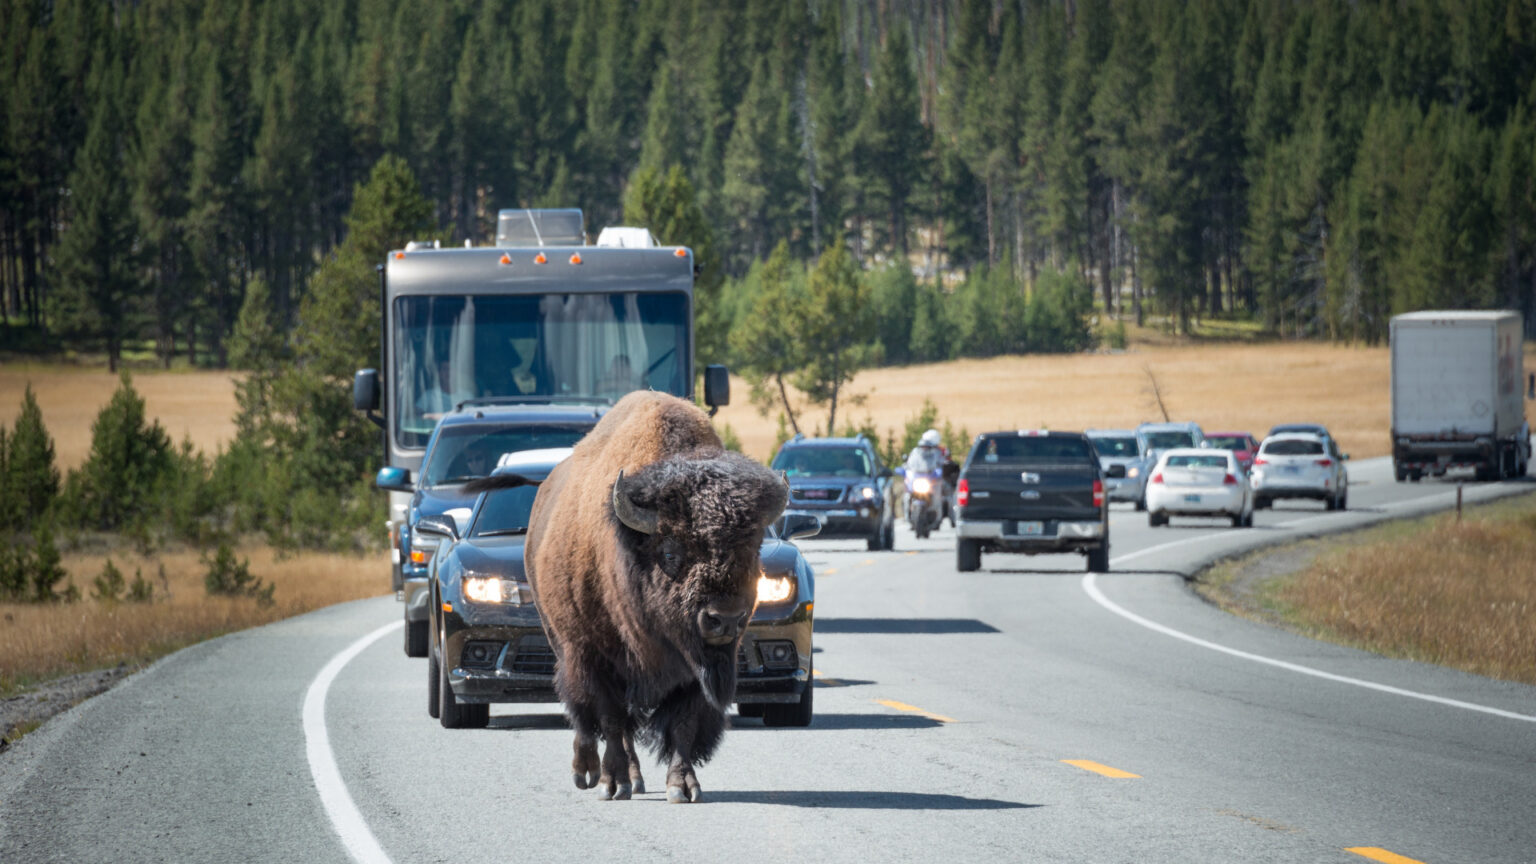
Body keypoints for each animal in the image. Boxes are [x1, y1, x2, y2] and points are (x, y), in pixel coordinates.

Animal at [528, 390, 792, 799]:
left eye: (754, 551)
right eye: (669, 552)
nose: (724, 619)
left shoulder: (695, 670)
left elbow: (682, 725)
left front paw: (682, 787)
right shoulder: (597, 658)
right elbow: (611, 718)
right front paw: (611, 783)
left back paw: (633, 778)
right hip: (561, 640)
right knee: (587, 718)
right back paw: (593, 774)